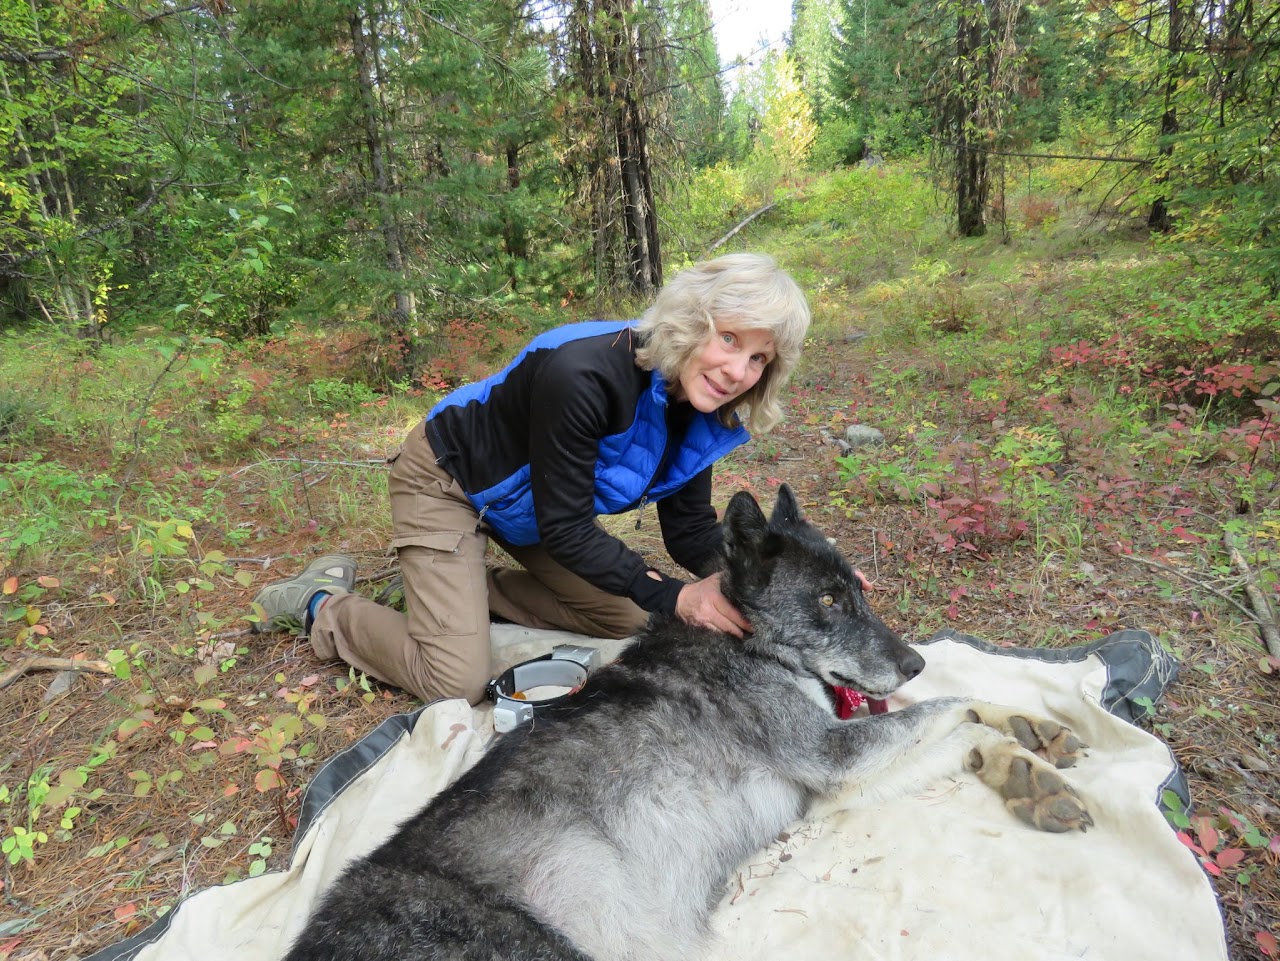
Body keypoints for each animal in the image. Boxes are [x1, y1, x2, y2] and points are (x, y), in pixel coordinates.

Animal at [283, 484, 1091, 961]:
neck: (749, 643)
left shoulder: (833, 785)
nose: (913, 662)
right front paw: (1020, 755)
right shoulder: (834, 755)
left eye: (858, 591)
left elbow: (967, 704)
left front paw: (1029, 746)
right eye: (828, 601)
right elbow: (956, 706)